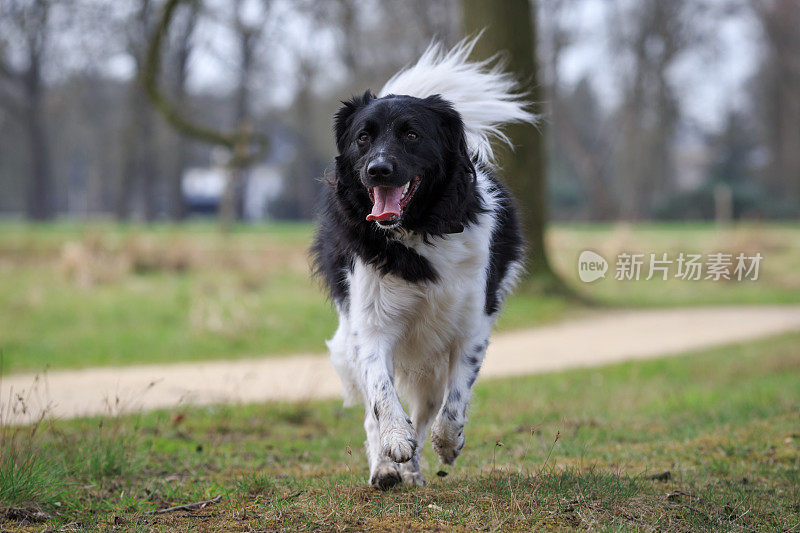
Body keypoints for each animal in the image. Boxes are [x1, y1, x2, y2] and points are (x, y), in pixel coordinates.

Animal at [314, 39, 536, 488]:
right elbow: (382, 394)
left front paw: (446, 446)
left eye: (412, 135)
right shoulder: (370, 326)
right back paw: (386, 467)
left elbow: (455, 401)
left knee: (427, 407)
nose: (378, 169)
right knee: (374, 413)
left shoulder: (471, 327)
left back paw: (412, 469)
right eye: (363, 138)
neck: (416, 233)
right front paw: (394, 445)